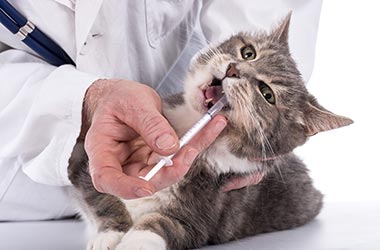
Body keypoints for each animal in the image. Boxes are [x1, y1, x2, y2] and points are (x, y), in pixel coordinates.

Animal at [67, 14, 352, 250]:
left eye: (267, 94)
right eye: (248, 52)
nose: (234, 70)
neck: (187, 126)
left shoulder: (208, 211)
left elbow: (165, 224)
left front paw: (135, 242)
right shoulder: (82, 160)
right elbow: (101, 194)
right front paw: (110, 234)